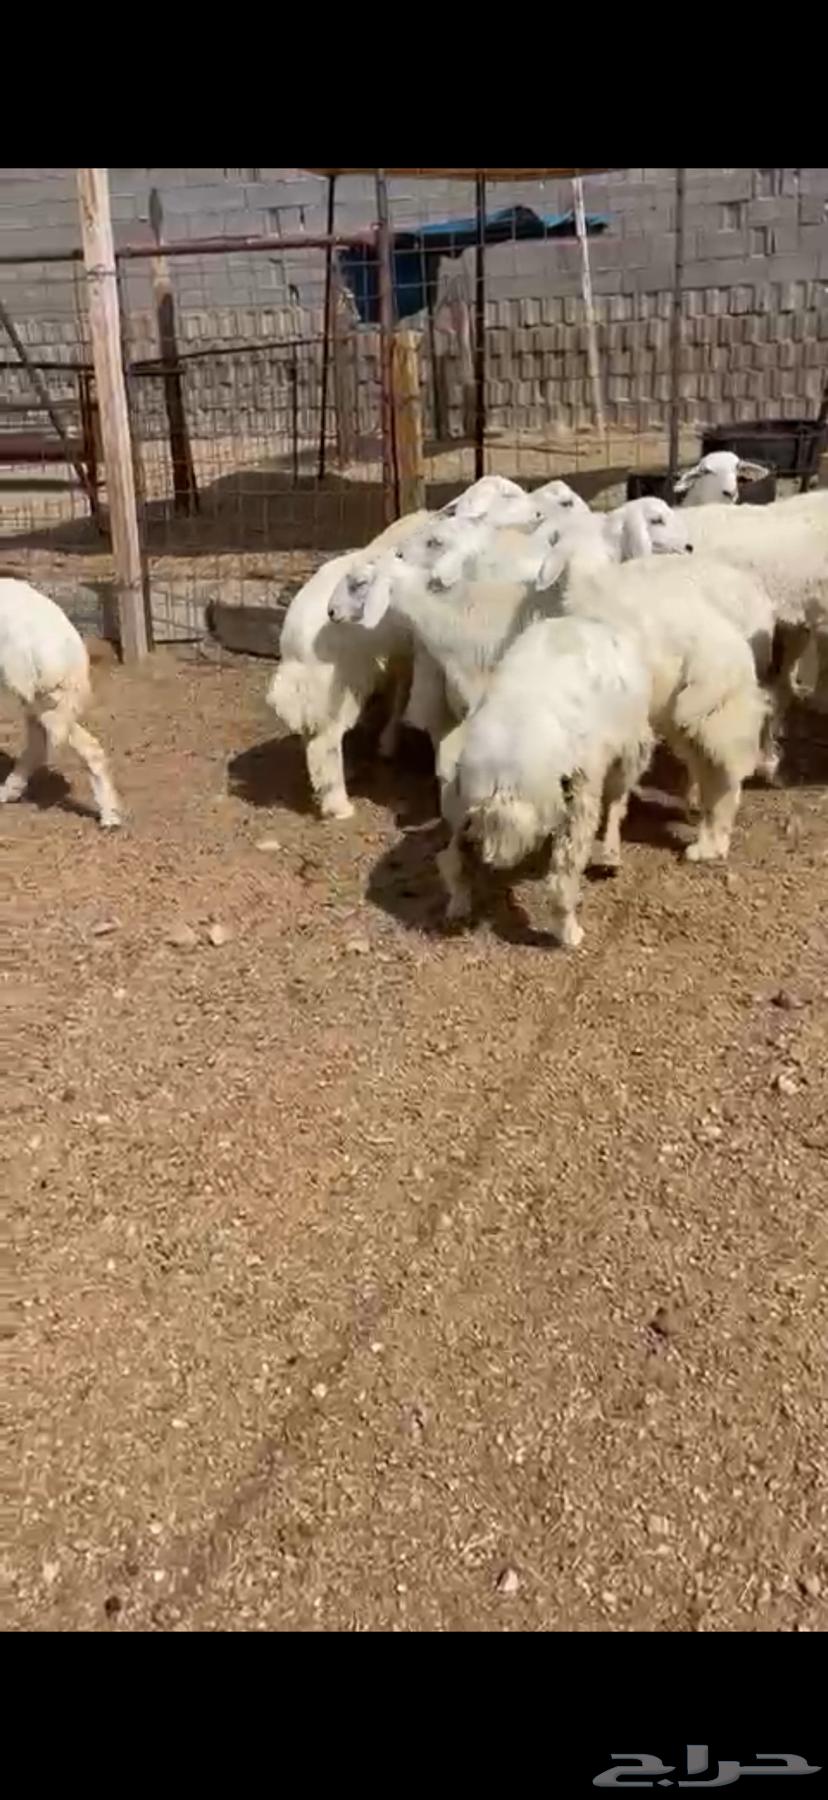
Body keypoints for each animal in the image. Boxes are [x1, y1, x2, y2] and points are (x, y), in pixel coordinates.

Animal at [437, 613, 654, 948]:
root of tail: (504, 779)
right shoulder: (630, 748)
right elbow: (618, 804)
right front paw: (611, 858)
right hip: (579, 802)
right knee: (561, 882)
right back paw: (571, 933)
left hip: (462, 808)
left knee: (452, 860)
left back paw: (458, 906)